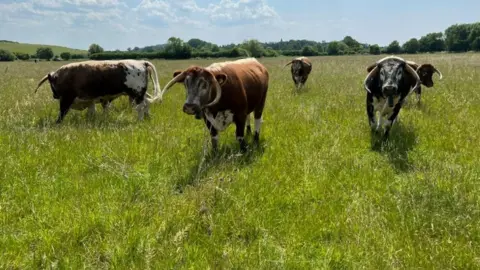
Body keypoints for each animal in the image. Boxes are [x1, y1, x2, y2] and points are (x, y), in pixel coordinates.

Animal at [33, 59, 162, 123]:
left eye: (51, 85)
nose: (54, 95)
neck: (63, 76)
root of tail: (141, 62)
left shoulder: (66, 98)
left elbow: (62, 112)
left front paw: (57, 123)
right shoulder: (90, 100)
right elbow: (91, 113)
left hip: (136, 94)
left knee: (141, 107)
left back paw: (139, 120)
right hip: (139, 94)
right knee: (146, 104)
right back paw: (147, 118)